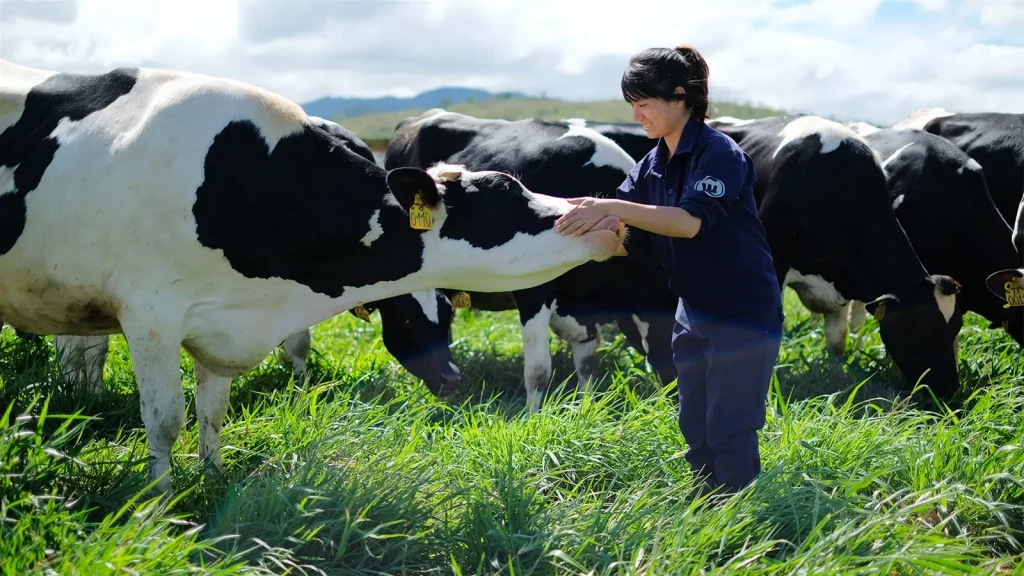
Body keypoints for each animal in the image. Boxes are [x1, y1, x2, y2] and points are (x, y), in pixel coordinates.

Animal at [0, 60, 622, 487]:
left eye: (448, 314)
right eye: (506, 195)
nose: (595, 214)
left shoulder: (221, 320)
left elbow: (212, 413)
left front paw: (214, 480)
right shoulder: (150, 315)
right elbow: (164, 421)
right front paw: (162, 504)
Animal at [380, 107, 675, 409]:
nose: (675, 397)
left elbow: (587, 364)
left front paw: (585, 406)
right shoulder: (533, 288)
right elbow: (538, 371)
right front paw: (534, 415)